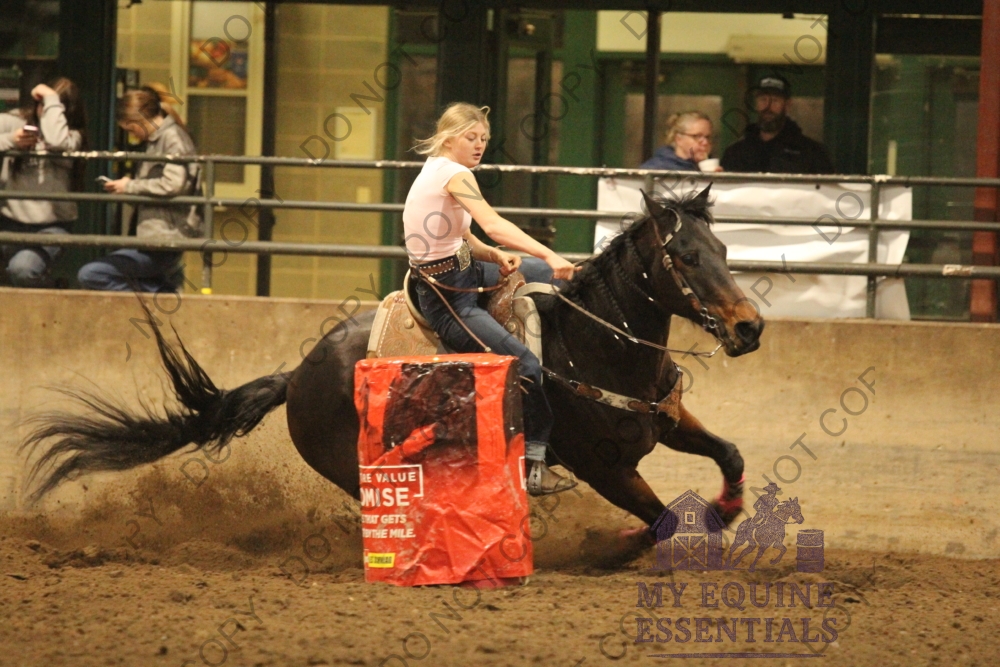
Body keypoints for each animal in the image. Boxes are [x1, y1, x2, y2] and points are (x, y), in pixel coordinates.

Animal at [20, 184, 763, 560]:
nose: (749, 326)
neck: (593, 342)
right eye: (686, 257)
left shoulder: (665, 422)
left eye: (724, 249)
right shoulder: (603, 464)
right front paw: (619, 540)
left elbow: (729, 453)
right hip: (366, 467)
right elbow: (662, 518)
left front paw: (726, 509)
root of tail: (296, 376)